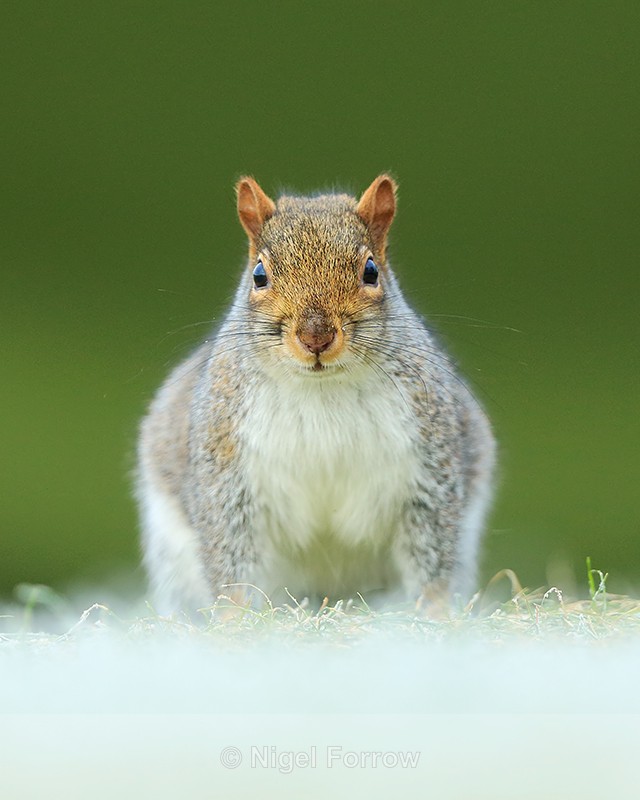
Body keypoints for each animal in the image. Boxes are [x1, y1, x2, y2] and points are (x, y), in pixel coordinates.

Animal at [136, 175, 496, 614]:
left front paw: (435, 611)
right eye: (259, 275)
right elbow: (229, 554)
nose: (316, 336)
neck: (321, 388)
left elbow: (433, 553)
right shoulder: (225, 471)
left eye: (371, 271)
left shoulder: (430, 468)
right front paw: (233, 616)